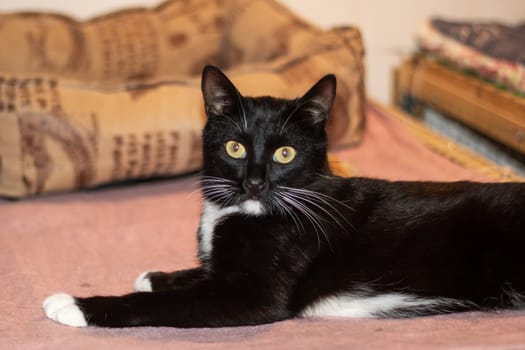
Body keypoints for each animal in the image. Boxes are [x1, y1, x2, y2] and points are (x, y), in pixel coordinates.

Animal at [43, 65, 524, 328]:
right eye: (235, 147)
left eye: (285, 153)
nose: (255, 182)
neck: (242, 210)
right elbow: (201, 274)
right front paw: (159, 274)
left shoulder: (255, 292)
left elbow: (169, 302)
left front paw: (75, 305)